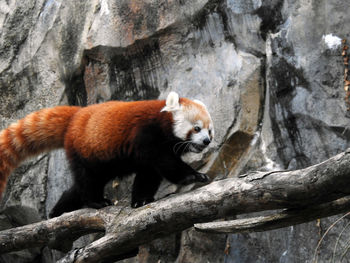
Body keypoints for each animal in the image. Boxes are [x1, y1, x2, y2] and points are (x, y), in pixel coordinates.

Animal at [0, 92, 213, 218]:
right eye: (196, 128)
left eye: (210, 131)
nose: (207, 141)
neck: (162, 123)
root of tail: (76, 116)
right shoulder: (147, 135)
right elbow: (167, 164)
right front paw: (194, 176)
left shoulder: (148, 153)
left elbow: (148, 175)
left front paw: (141, 200)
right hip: (85, 152)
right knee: (88, 180)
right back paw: (95, 201)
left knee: (79, 186)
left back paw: (57, 211)